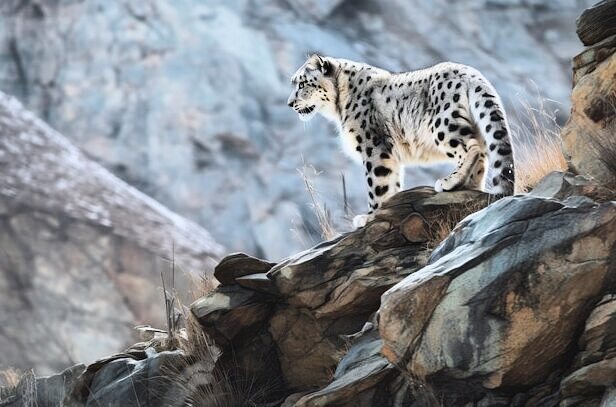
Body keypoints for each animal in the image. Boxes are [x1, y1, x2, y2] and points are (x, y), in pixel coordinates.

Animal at [288, 54, 516, 228]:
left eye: (302, 83)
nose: (290, 103)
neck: (339, 107)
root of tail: (471, 74)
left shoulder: (374, 147)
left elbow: (378, 184)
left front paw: (369, 217)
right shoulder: (390, 155)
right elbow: (392, 183)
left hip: (443, 125)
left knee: (471, 147)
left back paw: (450, 182)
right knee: (483, 157)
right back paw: (469, 186)